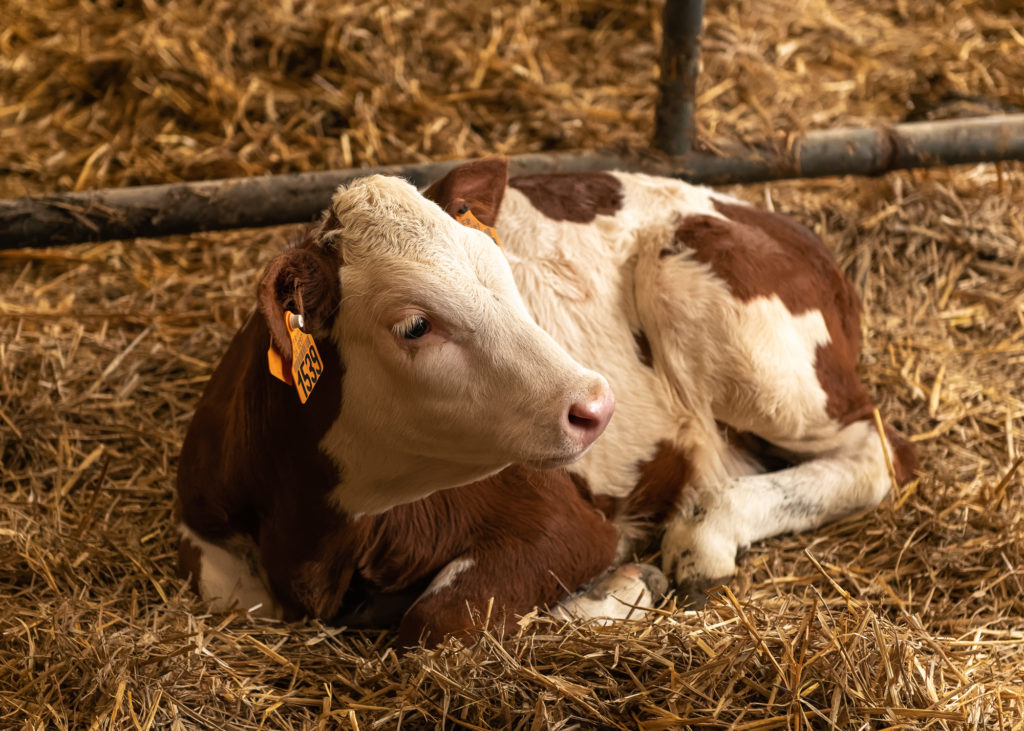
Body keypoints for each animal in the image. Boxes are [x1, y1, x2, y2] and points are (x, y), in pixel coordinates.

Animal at [172, 159, 917, 642]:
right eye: (414, 324)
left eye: (505, 274)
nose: (596, 404)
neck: (314, 533)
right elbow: (233, 597)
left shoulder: (562, 517)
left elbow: (440, 619)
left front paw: (620, 588)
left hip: (738, 336)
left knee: (876, 453)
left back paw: (704, 535)